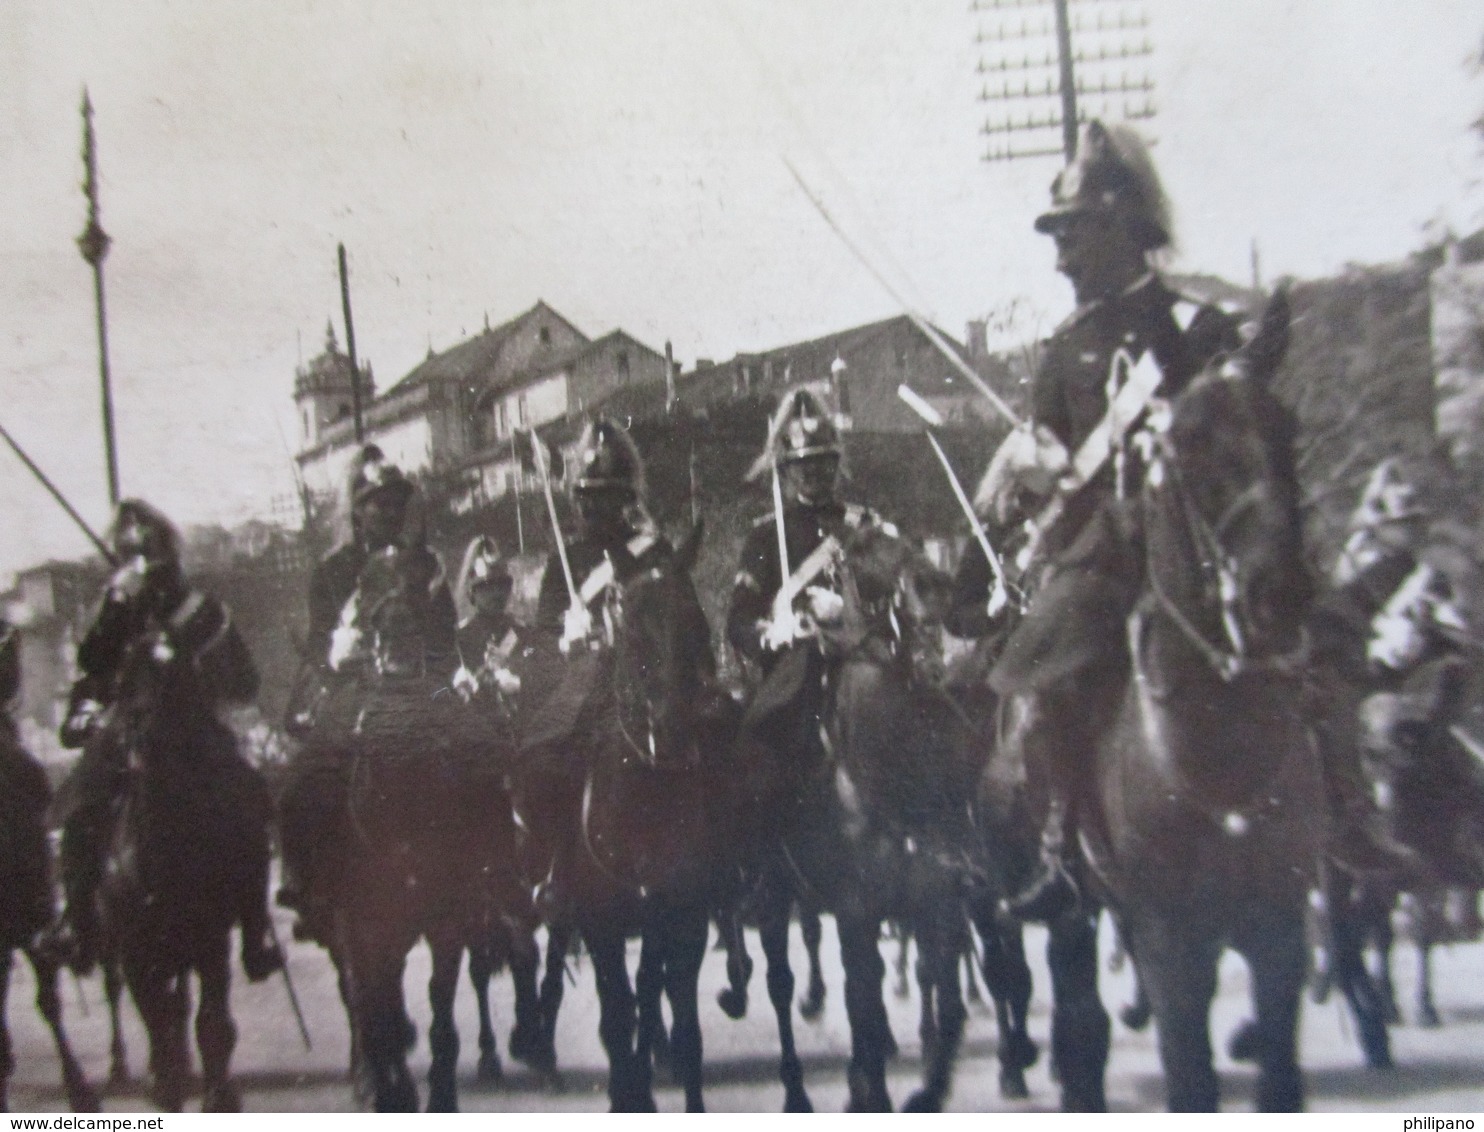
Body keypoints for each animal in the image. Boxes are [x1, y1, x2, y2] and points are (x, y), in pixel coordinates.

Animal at [1068, 287, 1323, 1109]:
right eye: (1192, 445)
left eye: (1287, 427)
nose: (1281, 593)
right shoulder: (1171, 938)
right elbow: (1190, 1075)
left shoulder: (1279, 929)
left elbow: (1279, 1071)